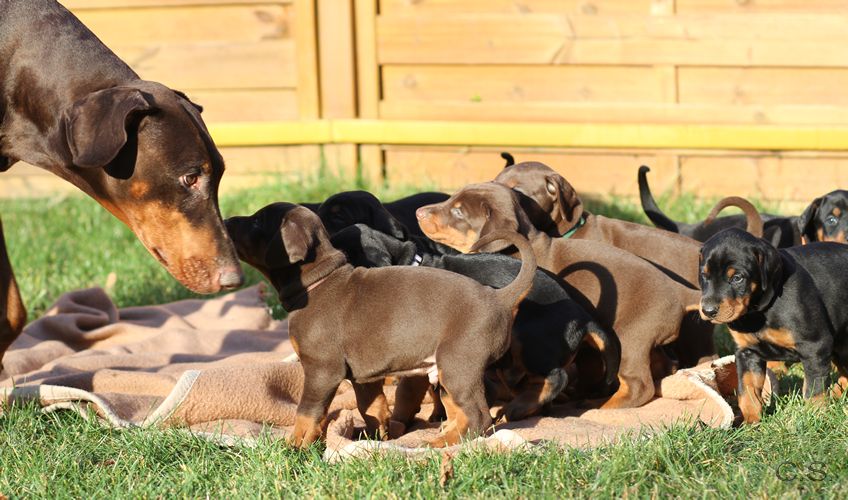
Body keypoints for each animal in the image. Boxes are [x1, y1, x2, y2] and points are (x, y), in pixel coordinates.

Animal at [226, 203, 537, 448]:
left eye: (257, 221)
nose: (226, 221)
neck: (318, 282)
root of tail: (497, 296)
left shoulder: (321, 370)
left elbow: (306, 411)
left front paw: (296, 445)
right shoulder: (363, 377)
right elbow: (370, 407)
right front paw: (378, 436)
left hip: (458, 363)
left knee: (478, 416)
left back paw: (440, 443)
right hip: (447, 368)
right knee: (461, 411)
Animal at [416, 182, 703, 409]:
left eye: (458, 211)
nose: (419, 212)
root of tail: (679, 291)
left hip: (631, 337)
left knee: (640, 386)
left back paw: (601, 405)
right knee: (662, 370)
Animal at [698, 228, 848, 423]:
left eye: (737, 278)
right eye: (704, 276)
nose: (708, 311)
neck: (758, 311)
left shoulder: (815, 346)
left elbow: (814, 390)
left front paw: (816, 418)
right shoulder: (747, 352)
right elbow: (747, 391)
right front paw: (750, 422)